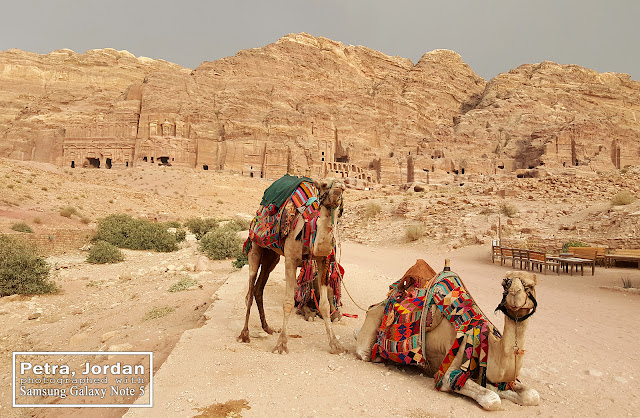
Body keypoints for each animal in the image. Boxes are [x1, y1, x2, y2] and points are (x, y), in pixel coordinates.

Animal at [238, 178, 344, 354]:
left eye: (345, 186)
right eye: (323, 184)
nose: (338, 189)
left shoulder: (322, 261)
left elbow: (324, 305)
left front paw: (335, 344)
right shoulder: (291, 260)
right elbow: (288, 303)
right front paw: (281, 344)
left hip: (272, 257)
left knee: (259, 289)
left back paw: (267, 328)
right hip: (255, 247)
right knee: (250, 292)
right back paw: (244, 334)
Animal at [356, 262, 540, 412]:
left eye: (530, 286)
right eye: (505, 284)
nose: (515, 293)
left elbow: (532, 395)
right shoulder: (450, 368)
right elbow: (492, 399)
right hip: (374, 320)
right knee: (365, 350)